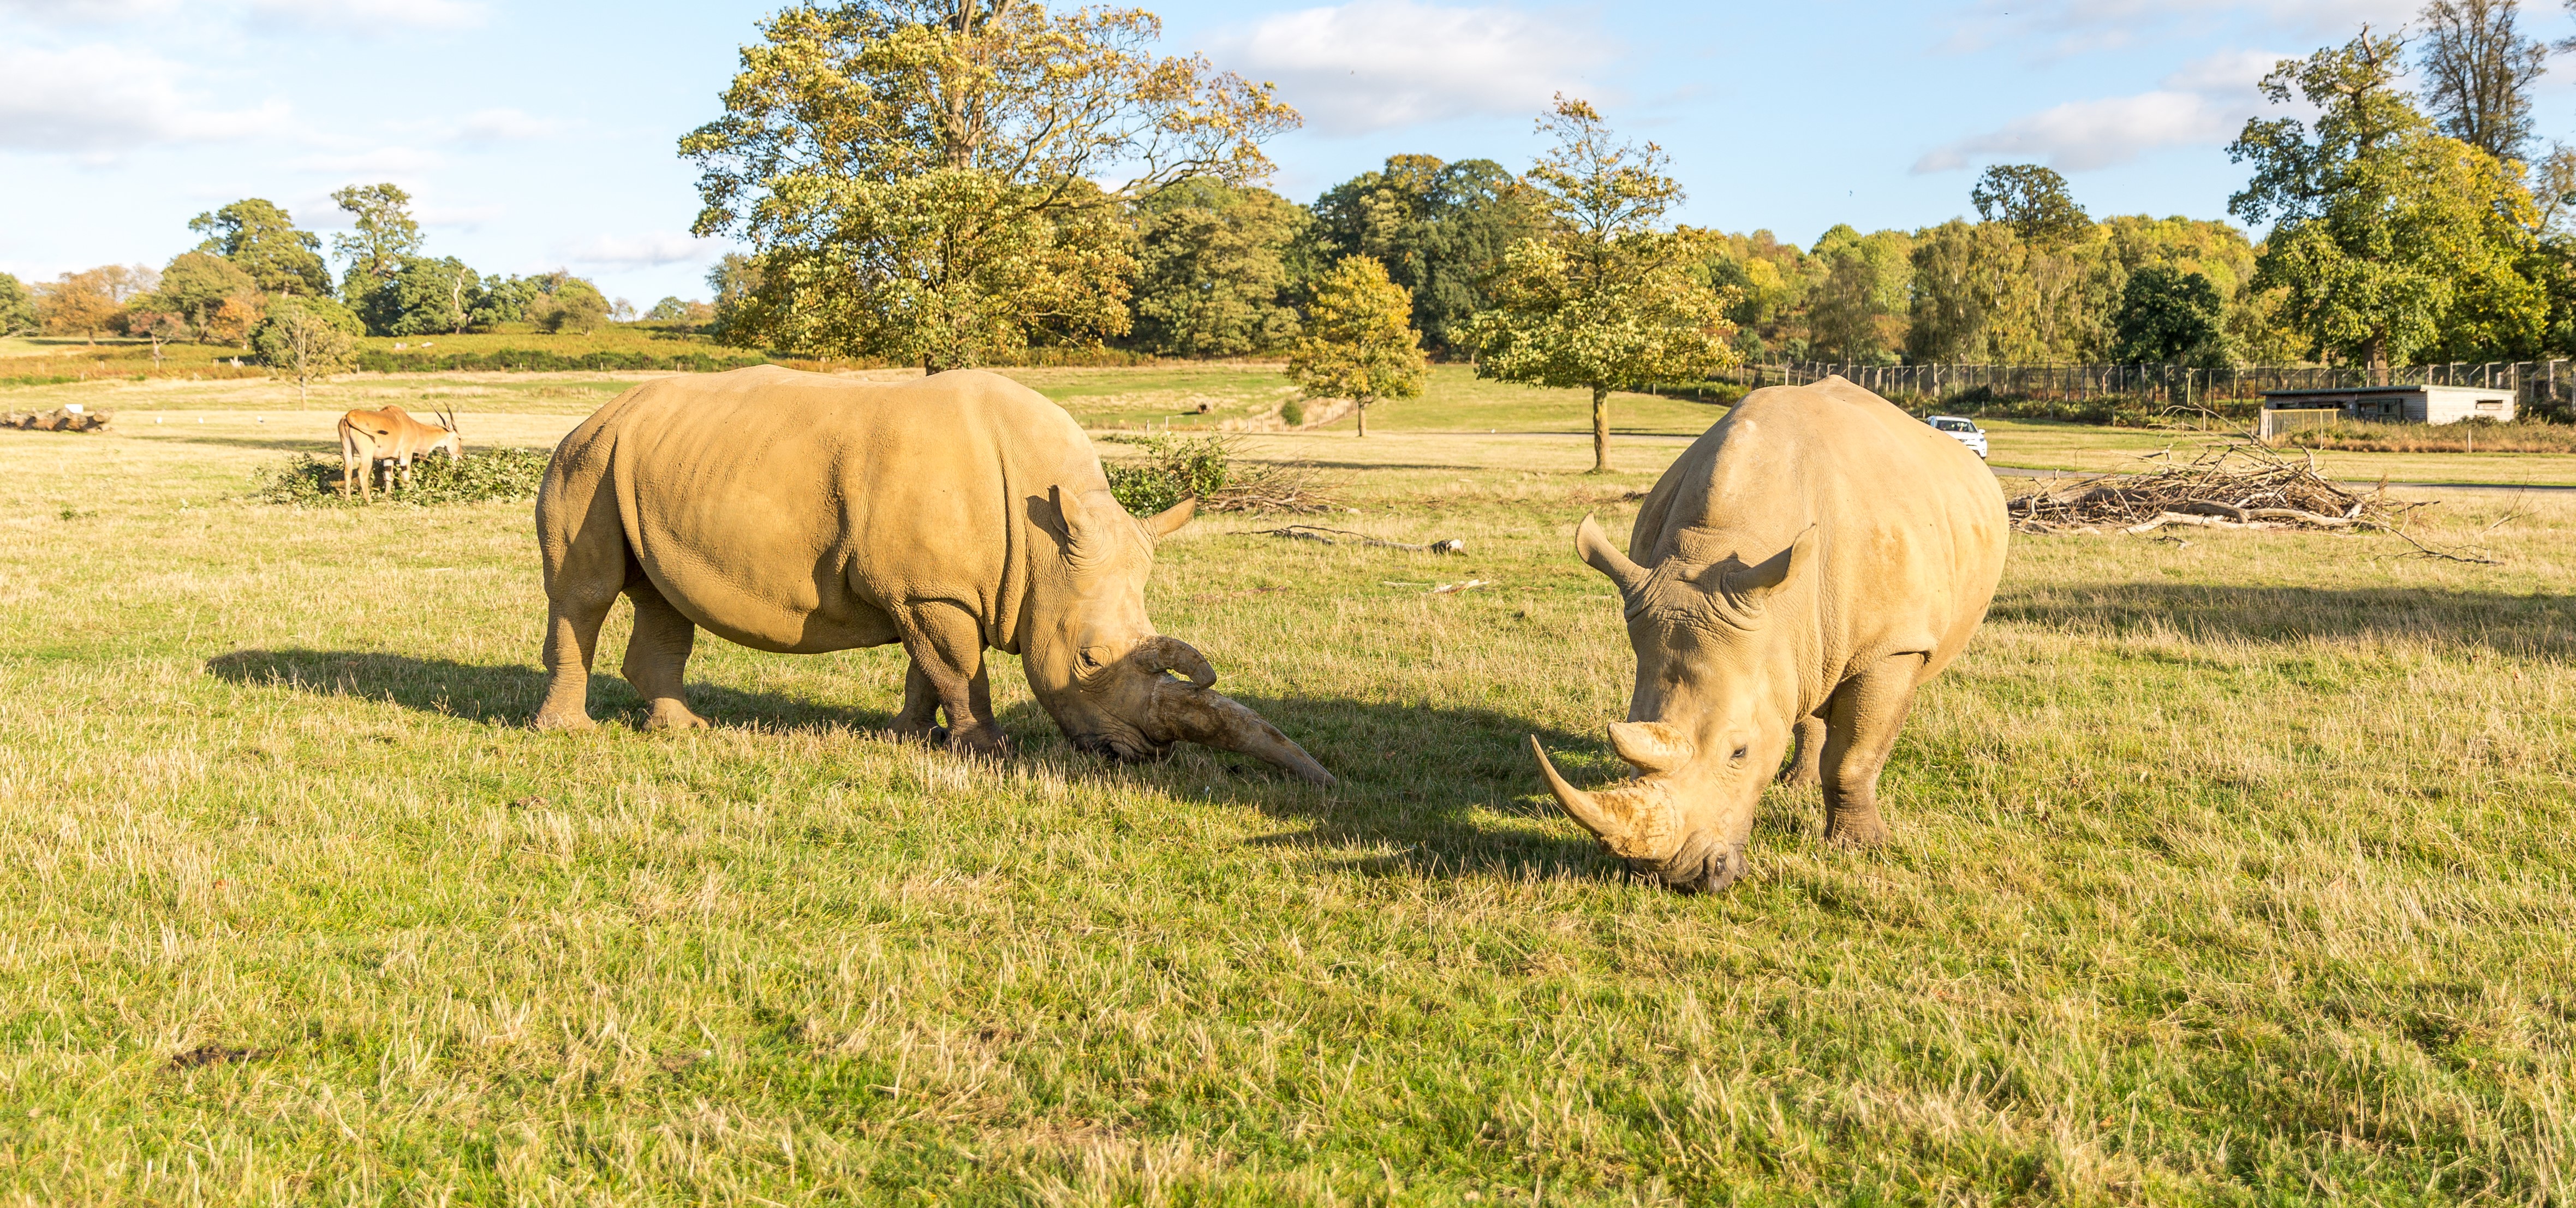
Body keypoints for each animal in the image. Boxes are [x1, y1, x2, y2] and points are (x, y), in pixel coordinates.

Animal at [337, 402, 463, 497]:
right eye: (459, 438)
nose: (460, 456)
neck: (416, 428)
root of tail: (350, 414)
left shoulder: (388, 459)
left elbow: (389, 477)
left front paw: (387, 496)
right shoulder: (406, 455)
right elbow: (406, 476)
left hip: (347, 451)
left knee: (348, 472)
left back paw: (348, 499)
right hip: (367, 455)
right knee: (362, 473)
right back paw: (368, 500)